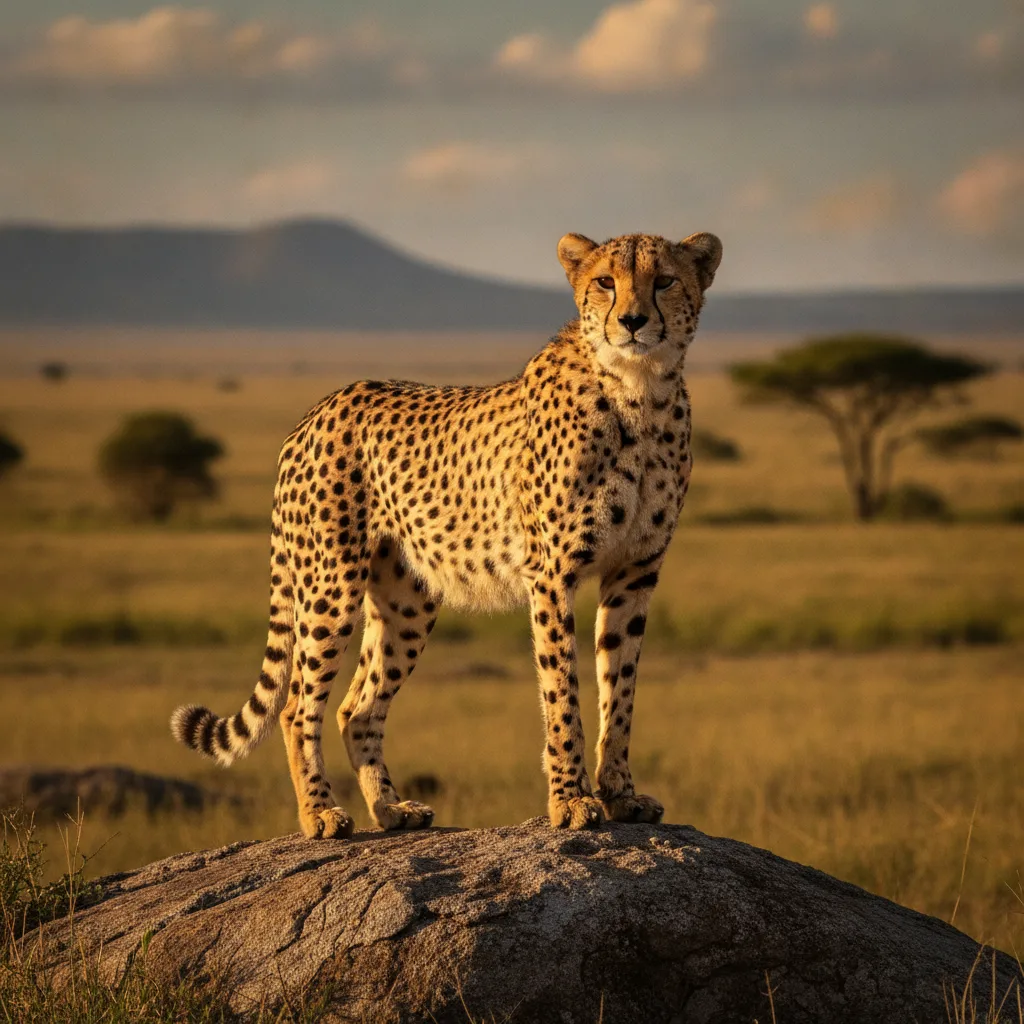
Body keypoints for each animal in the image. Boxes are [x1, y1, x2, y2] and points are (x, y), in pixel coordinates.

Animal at [171, 229, 723, 838]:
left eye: (664, 280)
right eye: (606, 281)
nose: (631, 320)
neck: (639, 390)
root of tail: (317, 410)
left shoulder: (634, 572)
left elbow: (619, 688)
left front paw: (622, 794)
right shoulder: (552, 573)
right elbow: (562, 690)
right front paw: (571, 800)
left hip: (406, 601)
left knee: (356, 708)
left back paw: (392, 810)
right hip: (330, 584)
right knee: (298, 707)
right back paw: (320, 813)